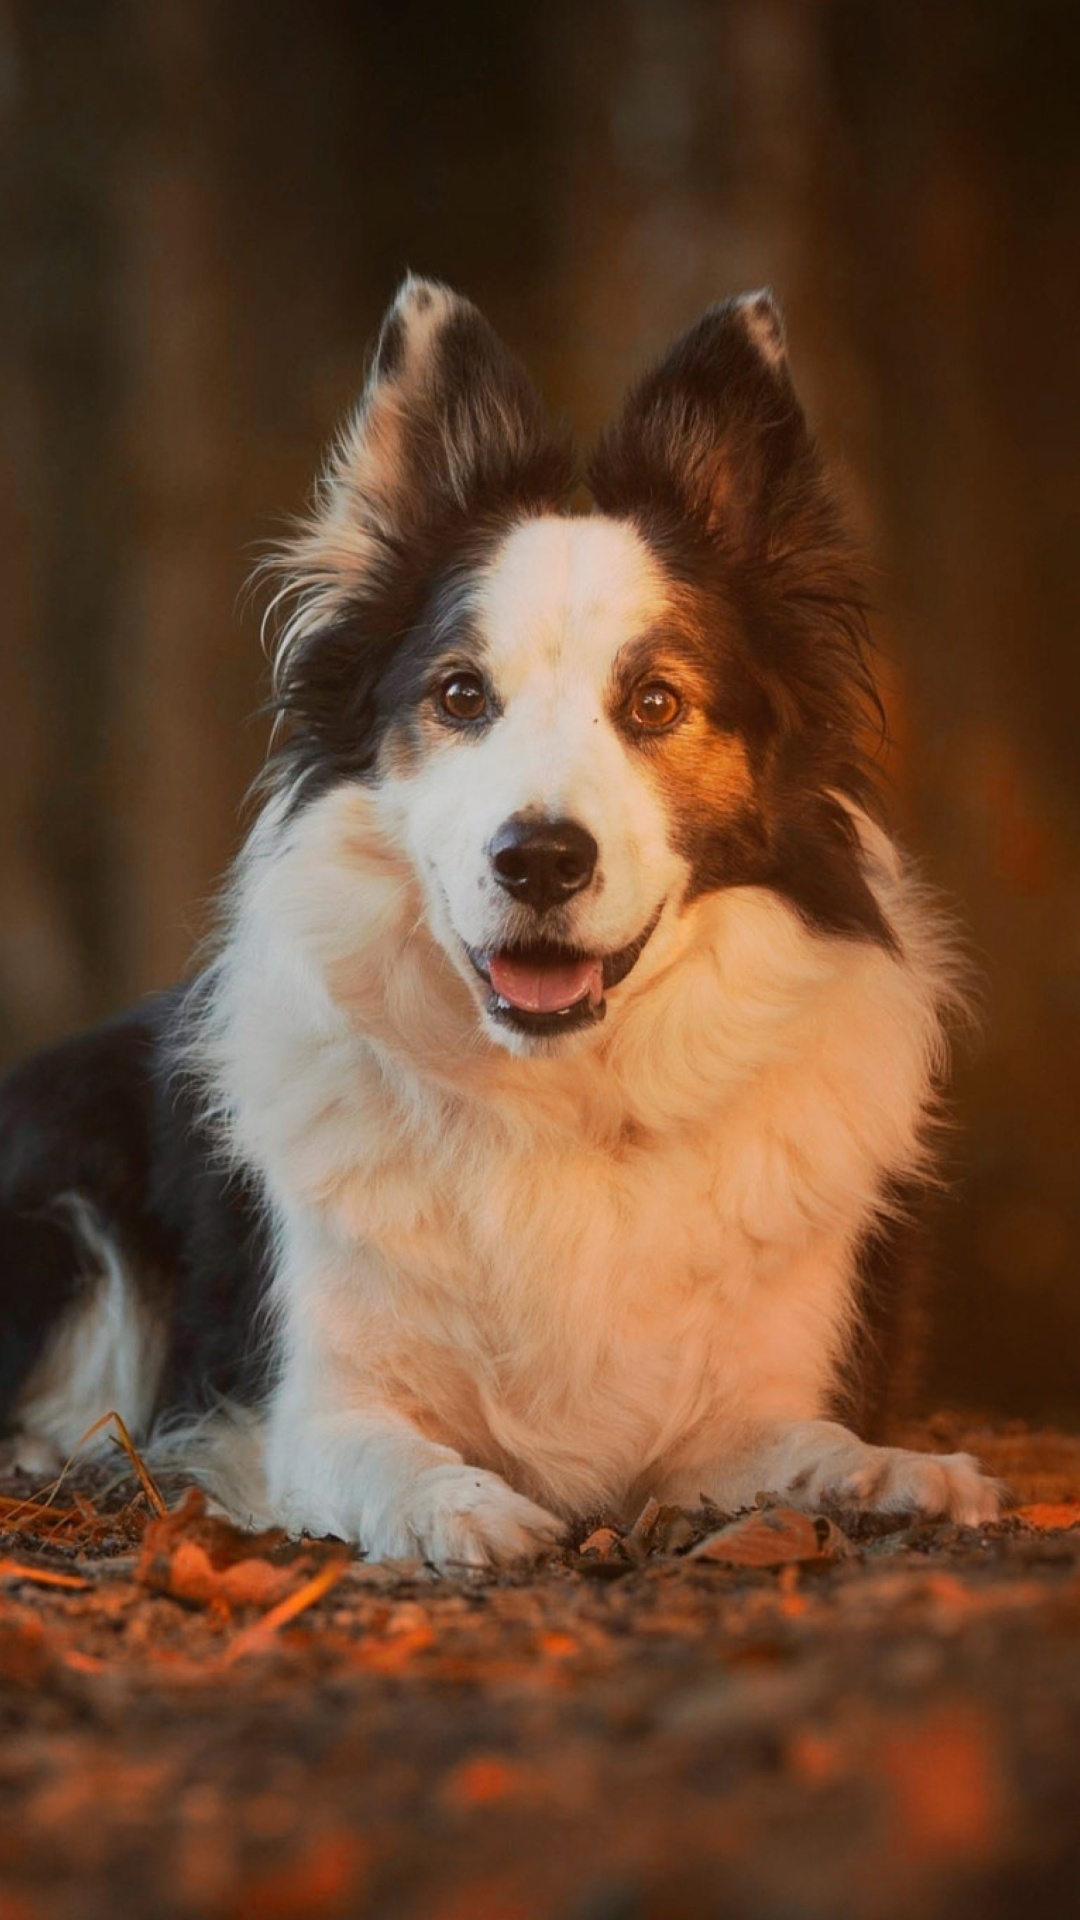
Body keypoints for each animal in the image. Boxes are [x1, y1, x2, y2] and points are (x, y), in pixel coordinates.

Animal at [0, 280, 999, 1559]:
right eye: (461, 695)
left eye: (655, 701)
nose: (540, 859)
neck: (563, 1098)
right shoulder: (310, 1405)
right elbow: (381, 1454)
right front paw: (463, 1509)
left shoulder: (743, 1406)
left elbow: (808, 1445)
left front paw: (902, 1474)